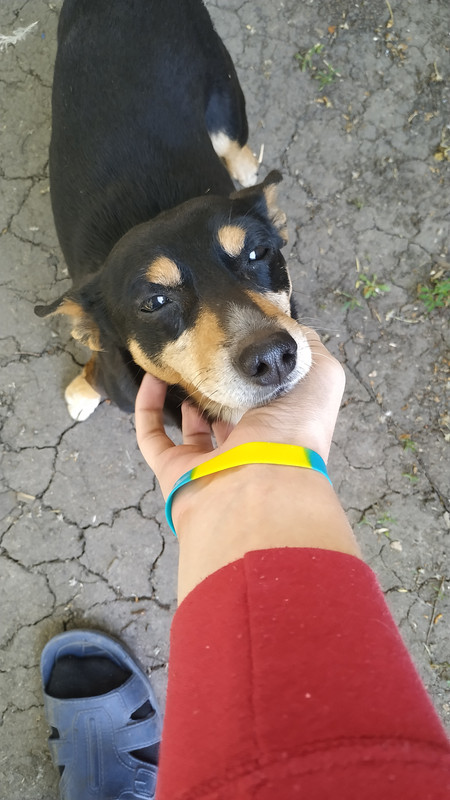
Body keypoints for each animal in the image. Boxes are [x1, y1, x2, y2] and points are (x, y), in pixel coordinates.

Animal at [35, 0, 312, 425]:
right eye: (154, 303)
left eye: (257, 253)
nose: (271, 357)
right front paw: (83, 389)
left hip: (224, 97)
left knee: (233, 142)